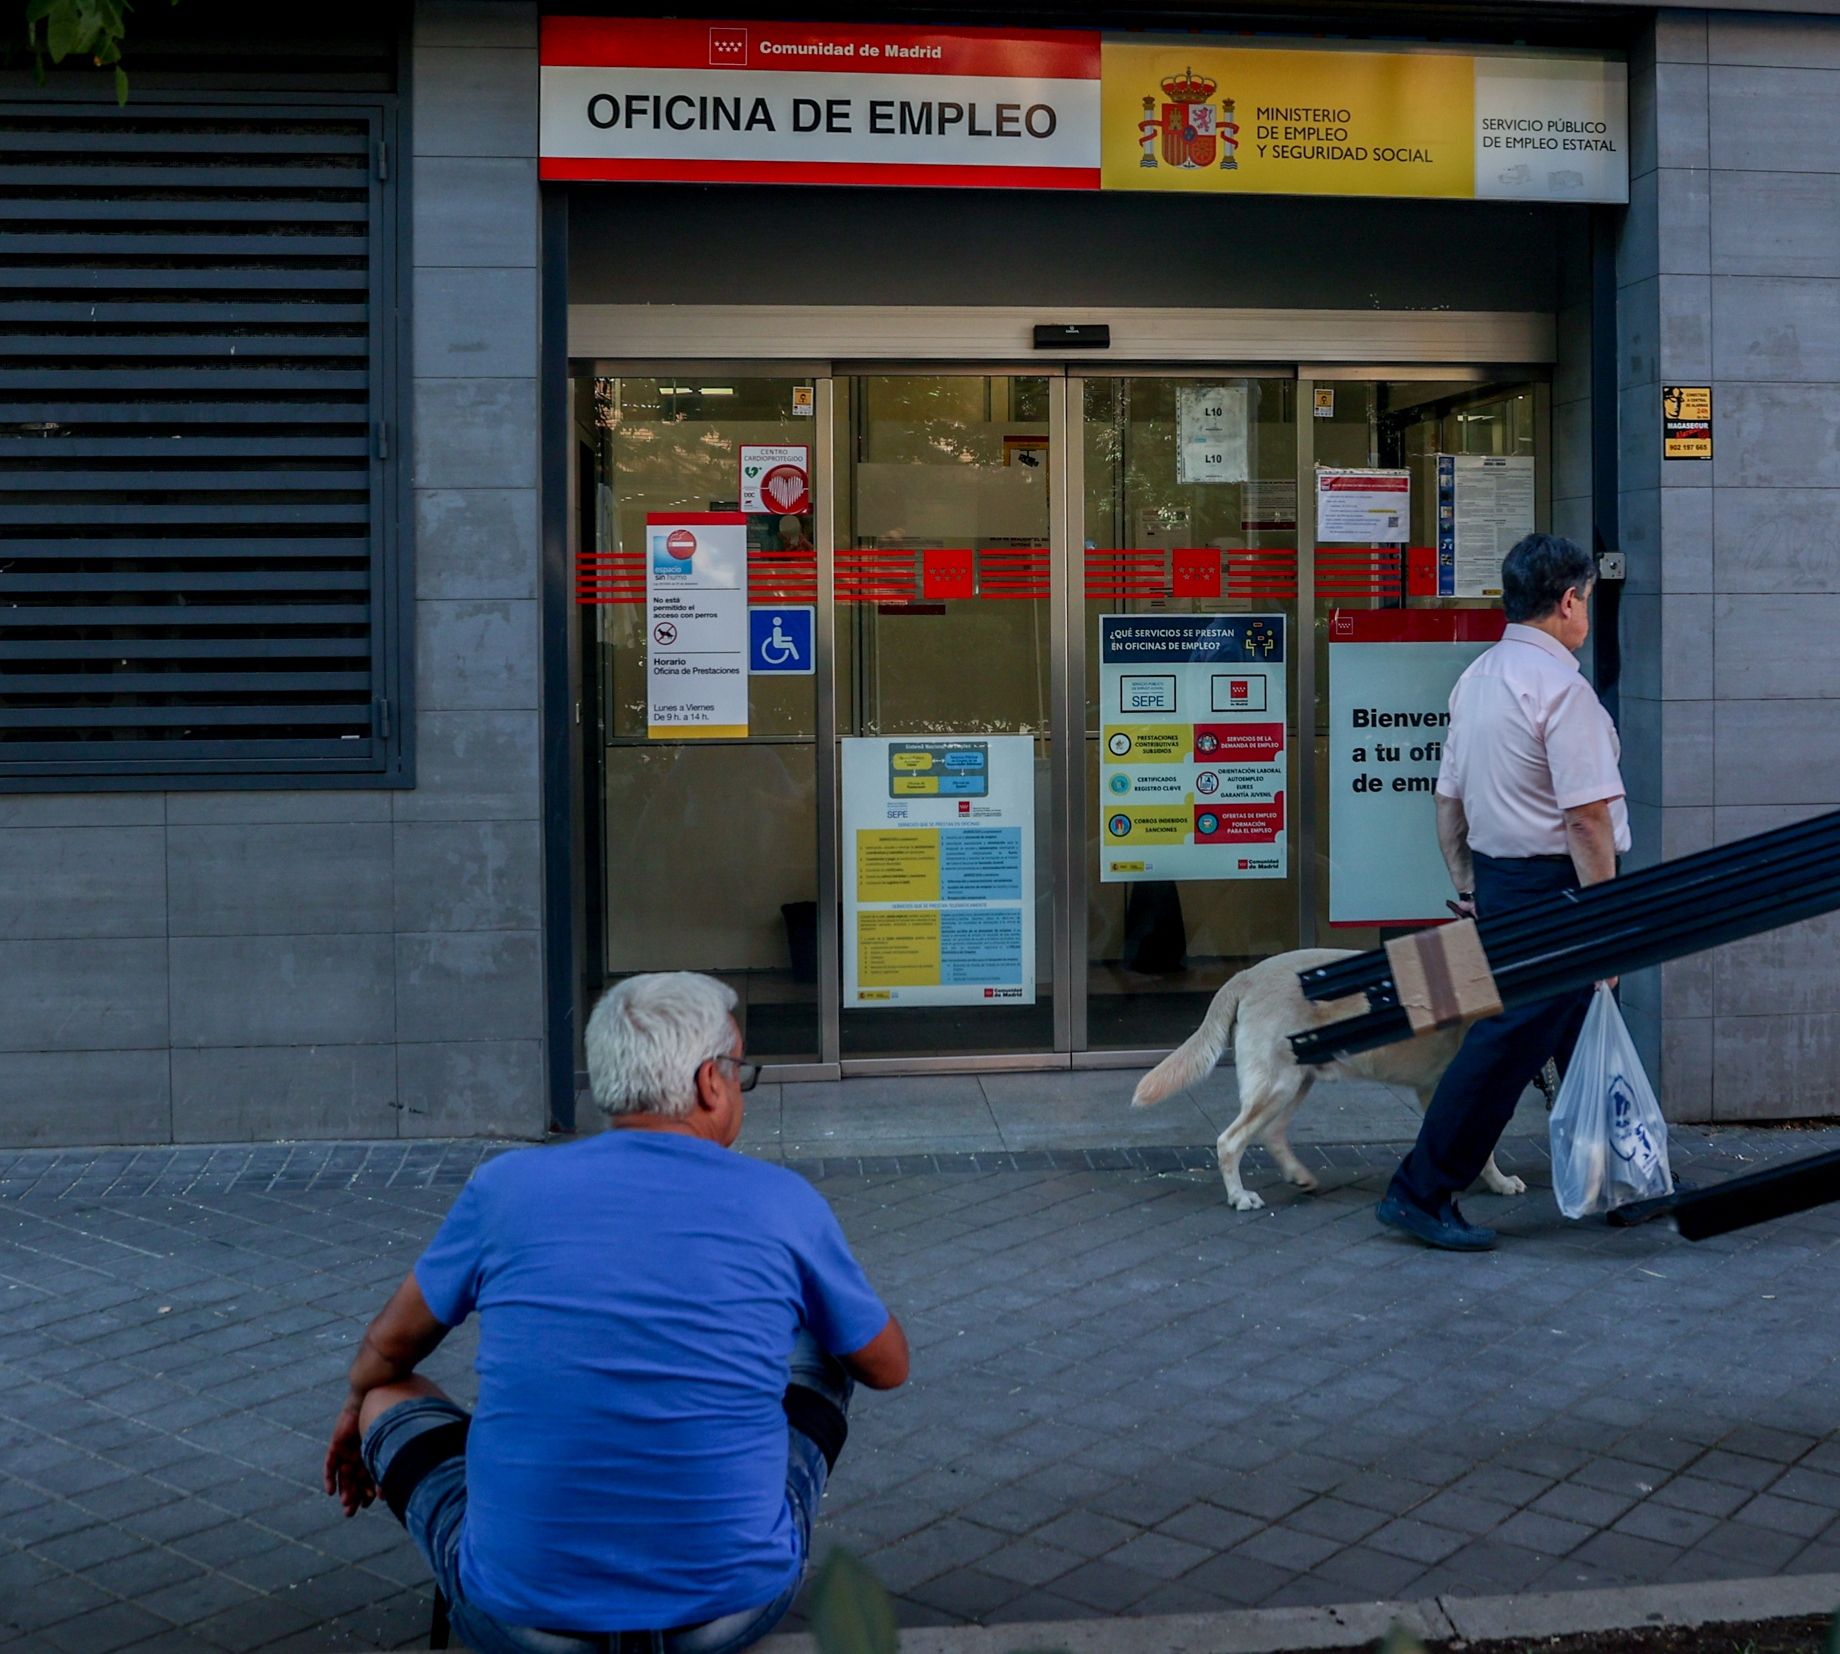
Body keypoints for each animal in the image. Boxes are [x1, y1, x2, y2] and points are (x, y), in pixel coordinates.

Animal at [1126, 949, 1530, 1206]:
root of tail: (1247, 975)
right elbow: (1481, 1147)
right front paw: (1496, 1182)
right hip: (1278, 1084)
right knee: (1230, 1140)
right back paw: (1239, 1197)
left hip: (1297, 1082)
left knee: (1271, 1133)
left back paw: (1299, 1177)